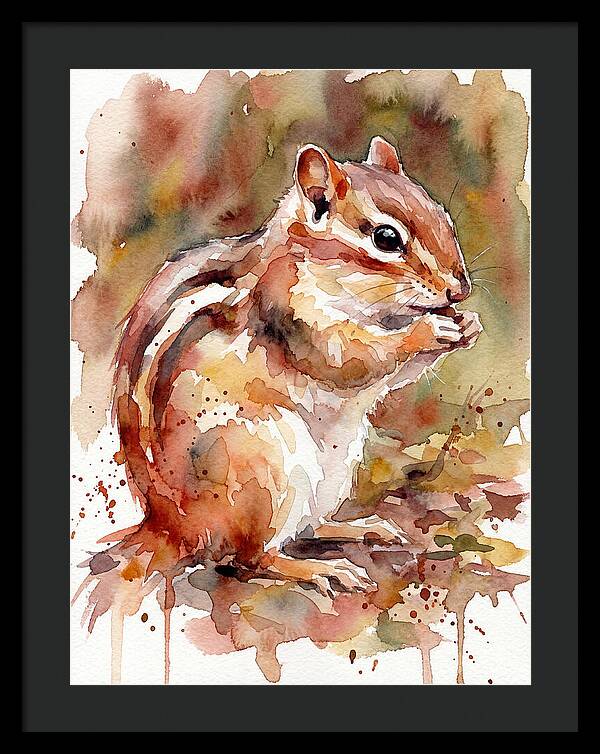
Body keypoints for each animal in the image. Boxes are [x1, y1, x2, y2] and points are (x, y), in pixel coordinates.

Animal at [95, 136, 482, 603]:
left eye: (442, 213)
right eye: (387, 238)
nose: (460, 289)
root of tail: (174, 528)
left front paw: (467, 325)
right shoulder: (294, 315)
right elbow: (352, 358)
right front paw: (428, 330)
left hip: (333, 470)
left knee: (307, 528)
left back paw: (360, 528)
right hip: (263, 466)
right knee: (250, 557)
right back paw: (319, 570)